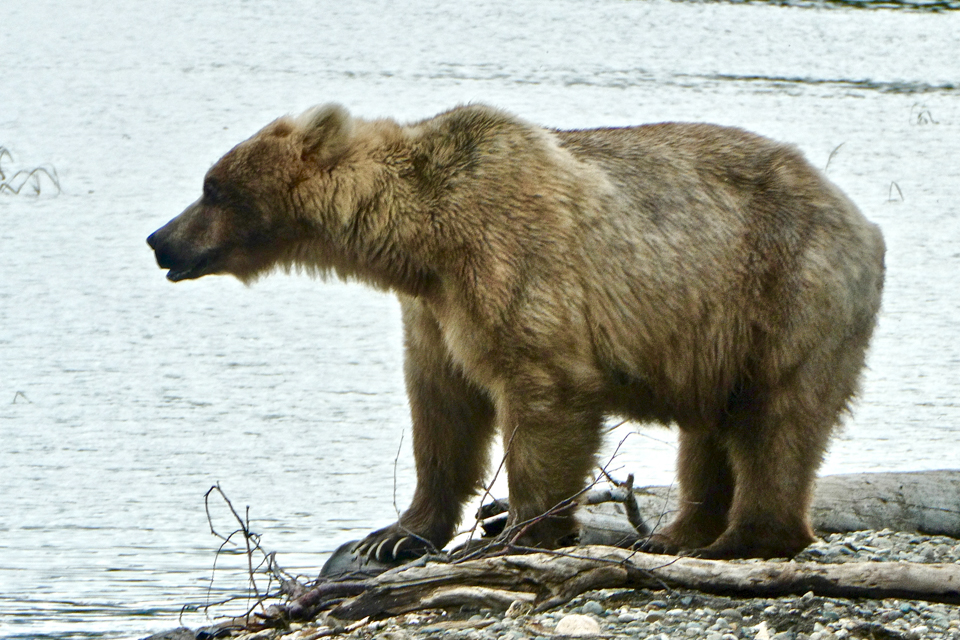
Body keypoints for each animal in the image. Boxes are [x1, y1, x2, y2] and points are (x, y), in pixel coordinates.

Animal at [147, 103, 885, 560]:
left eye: (212, 187)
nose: (160, 241)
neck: (422, 239)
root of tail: (862, 218)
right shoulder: (434, 311)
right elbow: (442, 411)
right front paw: (394, 533)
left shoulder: (512, 260)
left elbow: (543, 391)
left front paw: (517, 531)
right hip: (712, 330)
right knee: (709, 430)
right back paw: (677, 534)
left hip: (788, 290)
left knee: (777, 420)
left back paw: (747, 536)